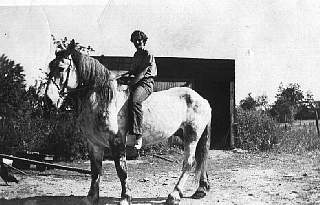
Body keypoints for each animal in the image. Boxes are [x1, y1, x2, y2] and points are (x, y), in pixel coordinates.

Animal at [43, 40, 211, 204]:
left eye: (61, 68)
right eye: (50, 66)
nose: (49, 100)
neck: (104, 101)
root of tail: (202, 99)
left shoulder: (116, 141)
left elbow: (121, 170)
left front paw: (125, 197)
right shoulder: (93, 143)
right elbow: (95, 170)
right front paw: (91, 197)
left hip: (192, 135)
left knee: (189, 162)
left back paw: (174, 195)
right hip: (184, 134)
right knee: (201, 159)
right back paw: (201, 189)